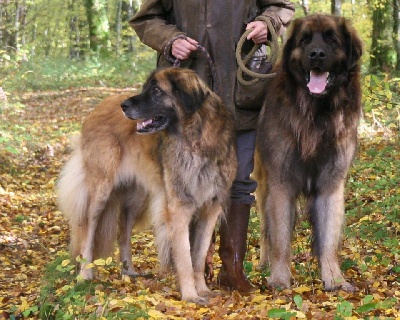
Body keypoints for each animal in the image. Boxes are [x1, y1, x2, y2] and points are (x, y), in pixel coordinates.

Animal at [256, 13, 362, 292]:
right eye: (304, 40)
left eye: (331, 39)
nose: (316, 54)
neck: (317, 114)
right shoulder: (280, 183)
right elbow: (280, 238)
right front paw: (279, 278)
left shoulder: (331, 184)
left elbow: (329, 239)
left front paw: (334, 278)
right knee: (265, 229)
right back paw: (263, 263)